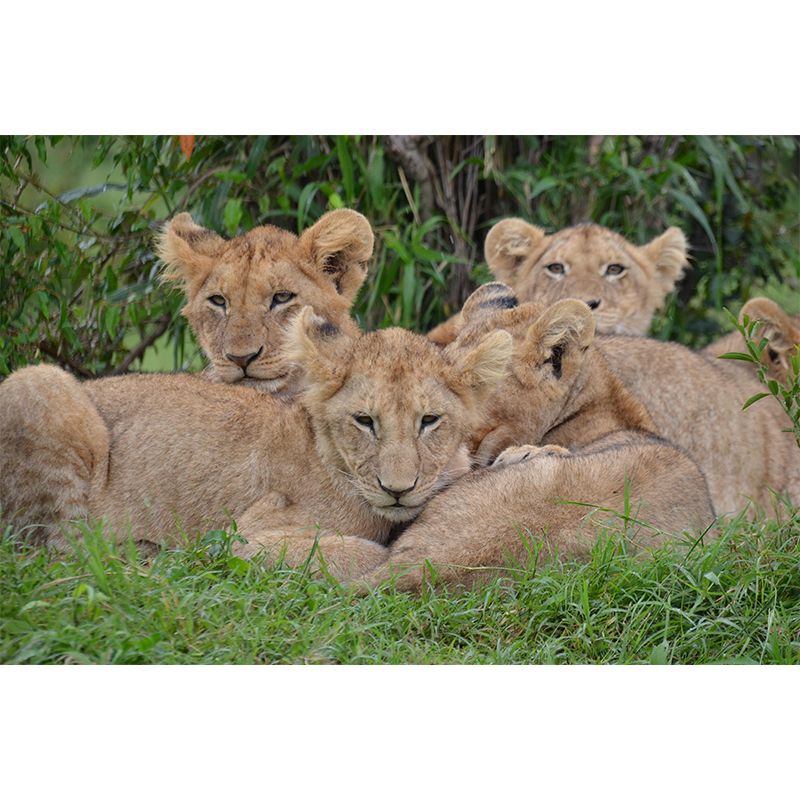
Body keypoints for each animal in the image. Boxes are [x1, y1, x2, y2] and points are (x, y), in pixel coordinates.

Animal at [0, 308, 512, 580]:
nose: (398, 489)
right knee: (55, 549)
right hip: (39, 381)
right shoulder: (246, 536)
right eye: (365, 421)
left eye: (430, 421)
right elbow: (360, 552)